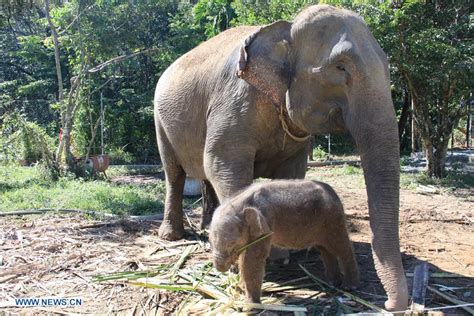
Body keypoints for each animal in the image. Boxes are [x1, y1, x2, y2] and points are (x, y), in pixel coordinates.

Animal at [208, 179, 360, 302]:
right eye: (209, 241)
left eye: (232, 244)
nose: (222, 269)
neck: (240, 202)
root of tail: (333, 192)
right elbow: (244, 258)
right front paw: (240, 290)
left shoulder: (266, 222)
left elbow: (253, 259)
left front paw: (251, 304)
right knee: (325, 249)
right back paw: (332, 283)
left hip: (333, 219)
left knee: (341, 247)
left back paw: (349, 287)